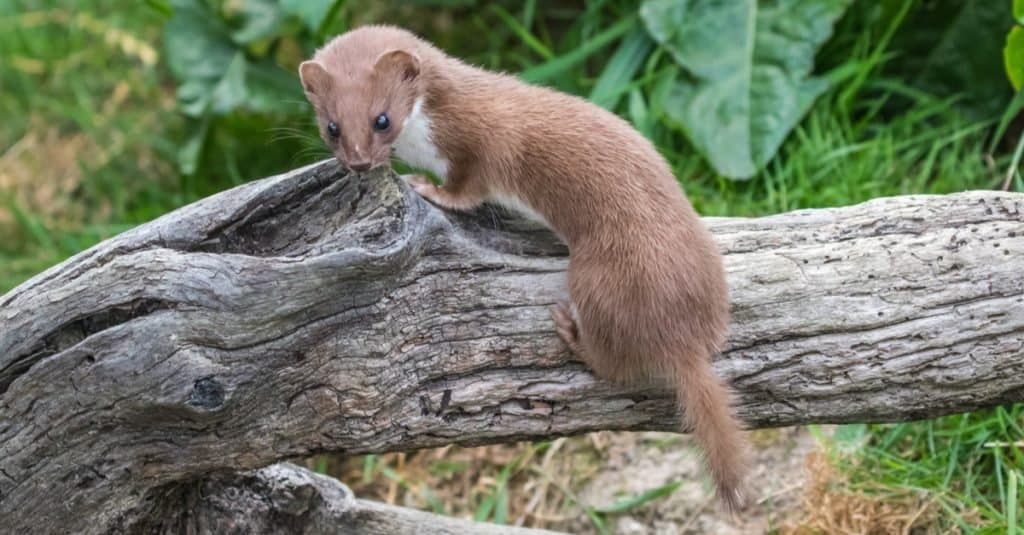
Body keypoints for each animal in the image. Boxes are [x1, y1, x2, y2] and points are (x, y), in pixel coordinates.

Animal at [299, 24, 749, 508]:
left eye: (382, 119)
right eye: (332, 126)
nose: (359, 161)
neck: (428, 135)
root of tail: (683, 338)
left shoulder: (480, 148)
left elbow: (468, 188)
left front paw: (429, 188)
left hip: (597, 277)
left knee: (615, 364)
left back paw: (571, 331)